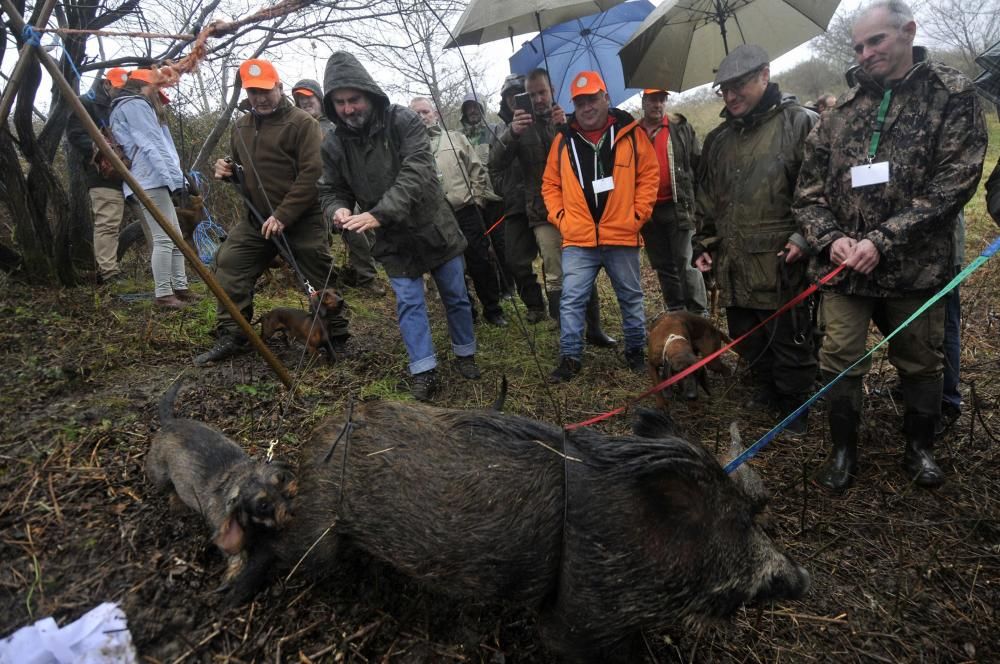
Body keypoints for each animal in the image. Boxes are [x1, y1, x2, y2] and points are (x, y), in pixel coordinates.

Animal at [146, 376, 296, 600]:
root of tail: (169, 422)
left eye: (283, 478)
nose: (296, 504)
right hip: (160, 475)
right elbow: (236, 555)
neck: (240, 479)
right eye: (263, 505)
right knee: (170, 490)